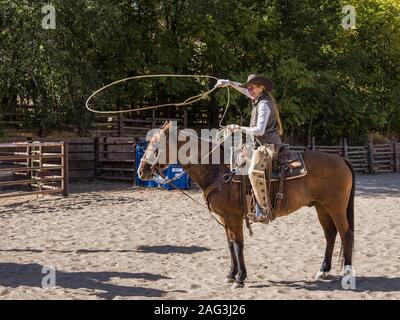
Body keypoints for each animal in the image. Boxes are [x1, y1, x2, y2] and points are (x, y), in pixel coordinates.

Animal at [136, 121, 354, 288]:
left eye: (157, 146)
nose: (141, 171)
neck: (218, 170)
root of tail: (341, 159)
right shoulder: (225, 218)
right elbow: (230, 244)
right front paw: (231, 274)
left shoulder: (233, 217)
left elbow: (238, 245)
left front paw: (240, 278)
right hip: (321, 208)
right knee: (330, 234)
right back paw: (322, 271)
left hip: (336, 208)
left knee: (346, 234)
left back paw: (347, 273)